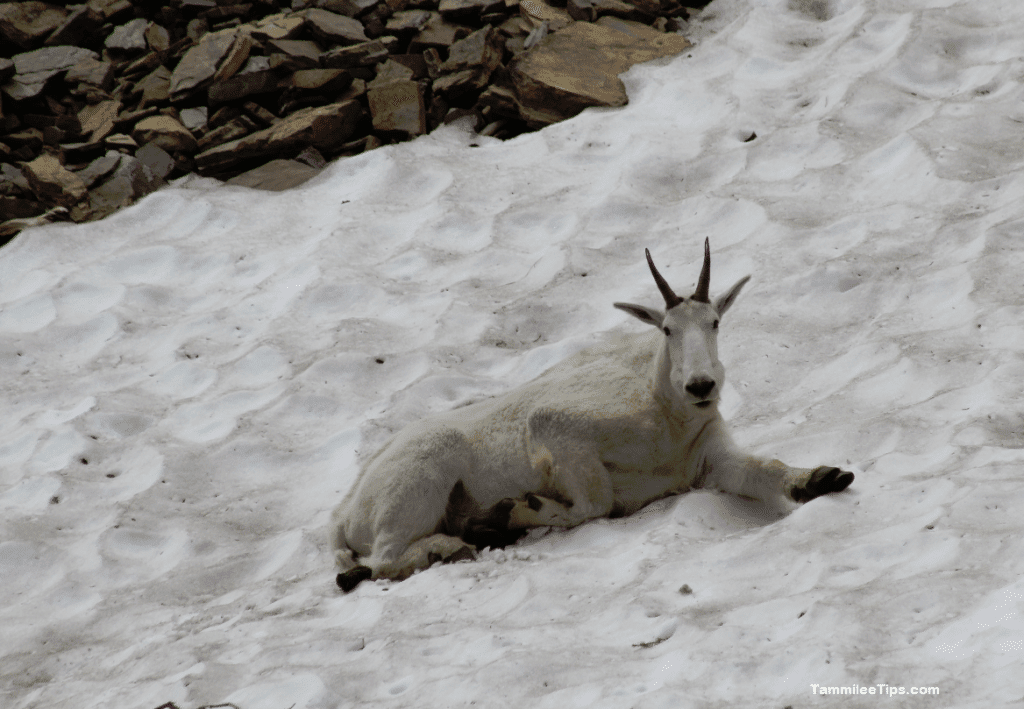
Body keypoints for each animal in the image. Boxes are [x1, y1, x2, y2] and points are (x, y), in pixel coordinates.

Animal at [331, 240, 851, 590]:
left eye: (715, 322)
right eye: (667, 329)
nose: (701, 385)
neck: (667, 417)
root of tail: (346, 511)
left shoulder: (708, 459)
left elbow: (765, 469)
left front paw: (822, 478)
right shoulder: (558, 429)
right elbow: (593, 504)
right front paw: (518, 508)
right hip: (421, 481)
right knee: (383, 559)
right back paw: (454, 544)